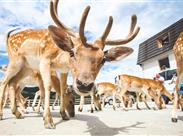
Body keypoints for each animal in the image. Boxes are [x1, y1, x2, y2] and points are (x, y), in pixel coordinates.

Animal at [0, 0, 139, 129]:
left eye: (103, 59)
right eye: (72, 52)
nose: (84, 84)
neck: (60, 59)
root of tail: (9, 38)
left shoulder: (63, 70)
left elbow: (61, 89)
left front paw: (63, 115)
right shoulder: (45, 60)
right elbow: (47, 87)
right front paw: (48, 121)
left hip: (25, 68)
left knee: (12, 83)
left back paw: (17, 113)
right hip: (15, 61)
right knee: (4, 82)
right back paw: (4, 114)